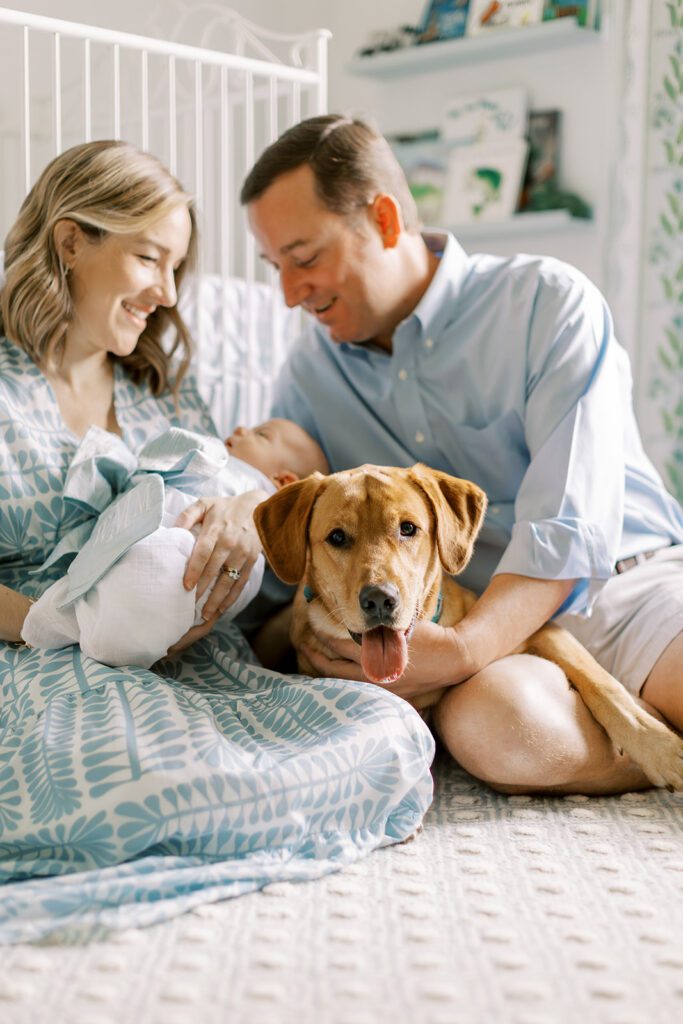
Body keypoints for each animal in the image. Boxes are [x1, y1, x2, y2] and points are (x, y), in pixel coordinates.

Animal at [253, 464, 683, 790]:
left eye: (407, 529)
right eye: (337, 537)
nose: (379, 599)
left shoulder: (544, 631)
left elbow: (604, 687)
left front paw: (659, 746)